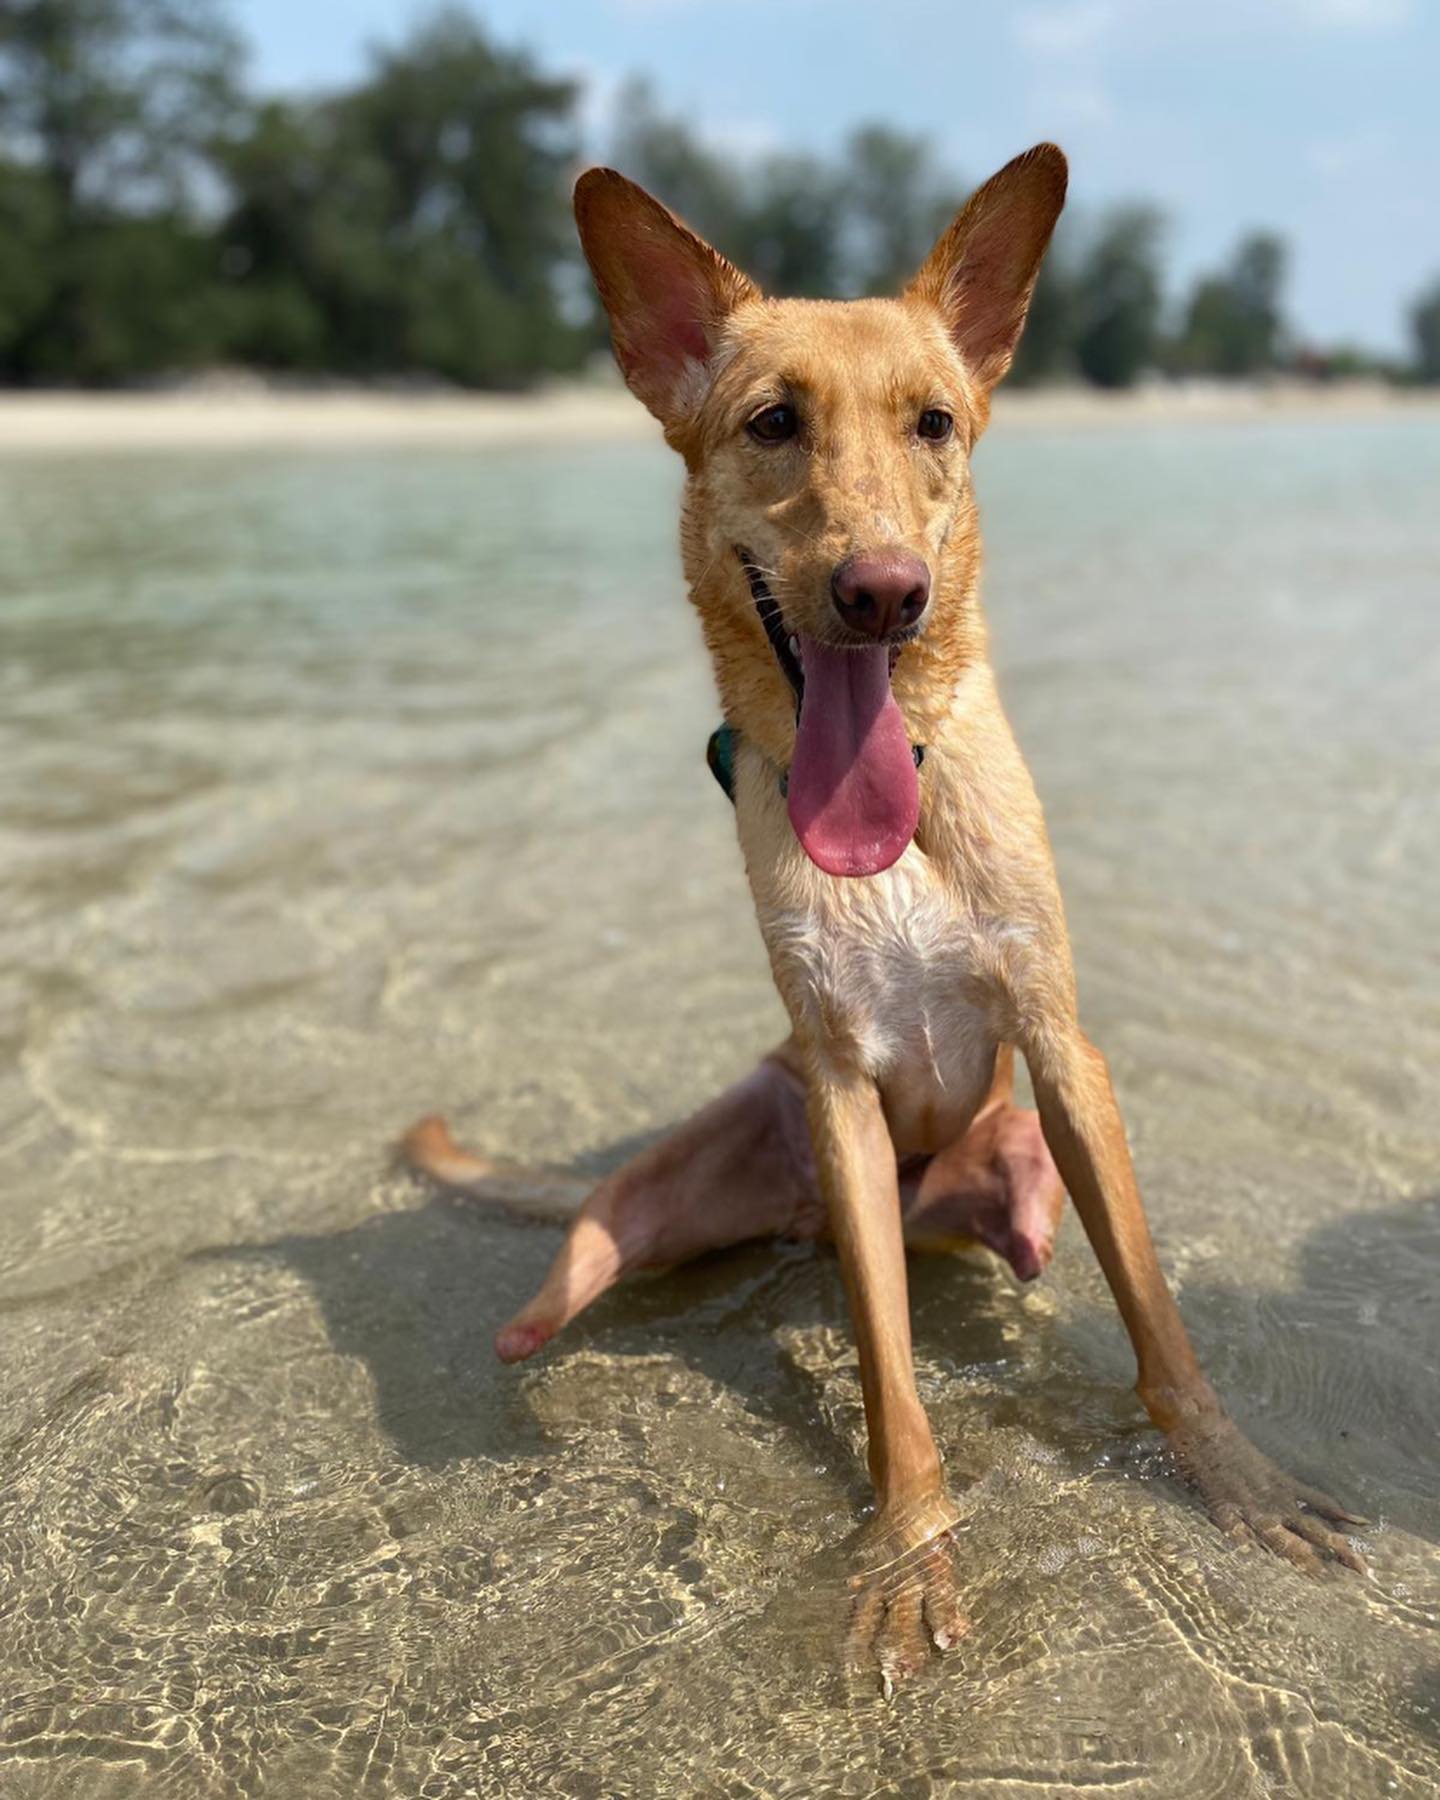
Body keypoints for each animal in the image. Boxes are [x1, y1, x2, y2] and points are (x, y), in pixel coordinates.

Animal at [401, 140, 1360, 1684]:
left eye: (935, 424)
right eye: (772, 423)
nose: (882, 594)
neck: (891, 803)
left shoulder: (1063, 1050)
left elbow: (1162, 1327)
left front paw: (1237, 1481)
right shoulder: (843, 1083)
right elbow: (892, 1396)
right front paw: (910, 1553)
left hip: (1017, 1162)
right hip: (667, 1198)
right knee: (583, 1271)